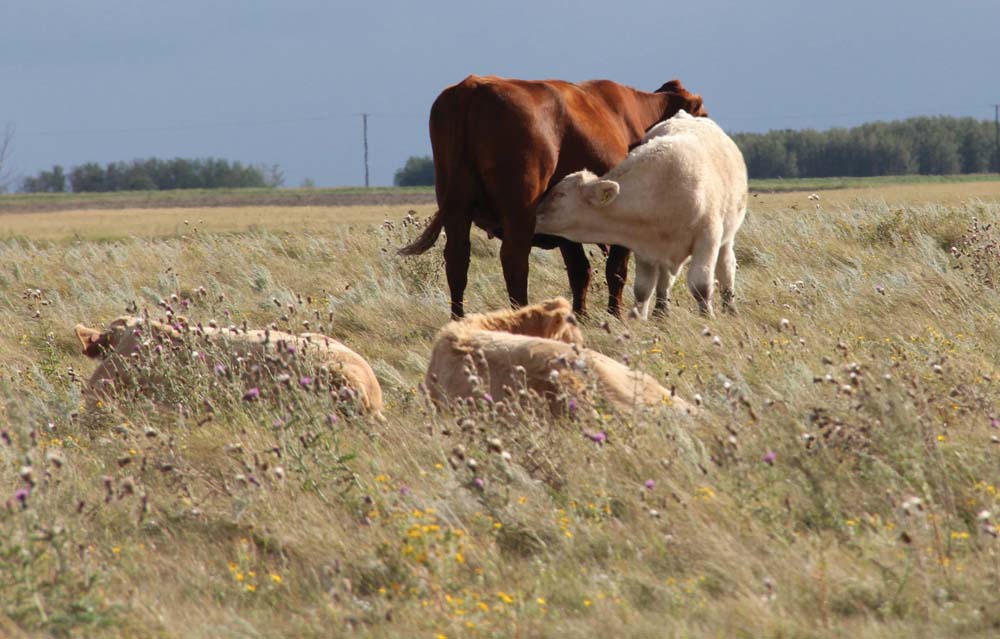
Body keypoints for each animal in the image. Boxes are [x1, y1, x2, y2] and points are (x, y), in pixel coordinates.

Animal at [394, 75, 708, 320]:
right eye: (702, 114)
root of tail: (472, 86)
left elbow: (580, 271)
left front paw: (581, 316)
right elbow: (615, 270)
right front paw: (614, 316)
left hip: (456, 207)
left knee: (457, 260)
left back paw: (458, 319)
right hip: (519, 211)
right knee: (514, 260)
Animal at [540, 112, 744, 320]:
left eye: (559, 194)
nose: (537, 210)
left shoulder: (708, 238)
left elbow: (701, 284)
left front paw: (707, 316)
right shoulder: (644, 246)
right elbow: (643, 288)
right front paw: (637, 316)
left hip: (726, 238)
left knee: (726, 268)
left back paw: (731, 308)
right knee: (664, 281)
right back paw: (661, 312)